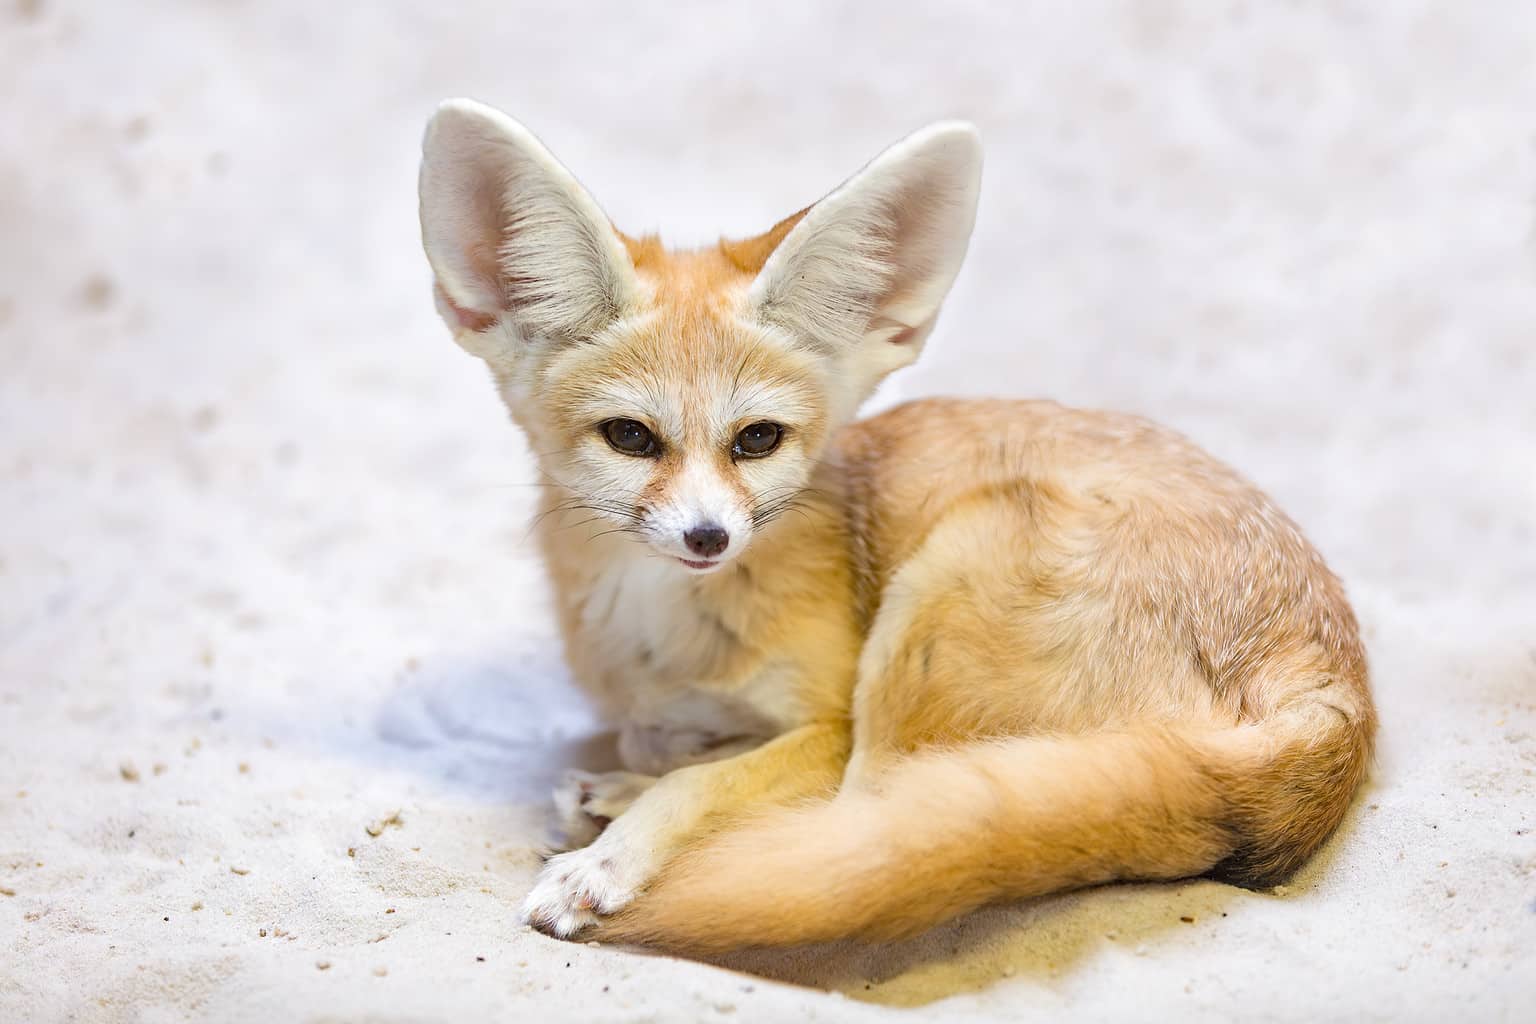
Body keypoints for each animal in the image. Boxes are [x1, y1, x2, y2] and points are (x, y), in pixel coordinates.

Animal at [416, 98, 1375, 953]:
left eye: (756, 439)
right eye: (630, 437)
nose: (707, 539)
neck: (666, 636)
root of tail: (1336, 695)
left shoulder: (829, 722)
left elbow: (705, 780)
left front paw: (615, 854)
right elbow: (678, 743)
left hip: (940, 592)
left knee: (857, 833)